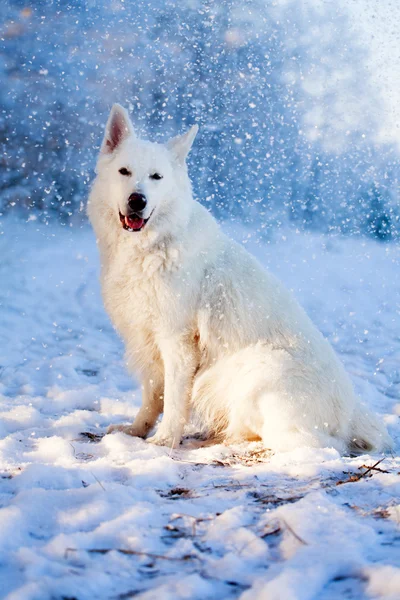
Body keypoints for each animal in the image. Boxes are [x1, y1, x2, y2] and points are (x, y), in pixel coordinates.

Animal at [86, 103, 390, 452]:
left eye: (156, 177)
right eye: (124, 172)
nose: (138, 200)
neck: (152, 245)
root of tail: (352, 412)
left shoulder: (176, 341)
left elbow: (173, 401)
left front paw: (164, 441)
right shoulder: (147, 340)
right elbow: (152, 398)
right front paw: (136, 431)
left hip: (259, 370)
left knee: (308, 441)